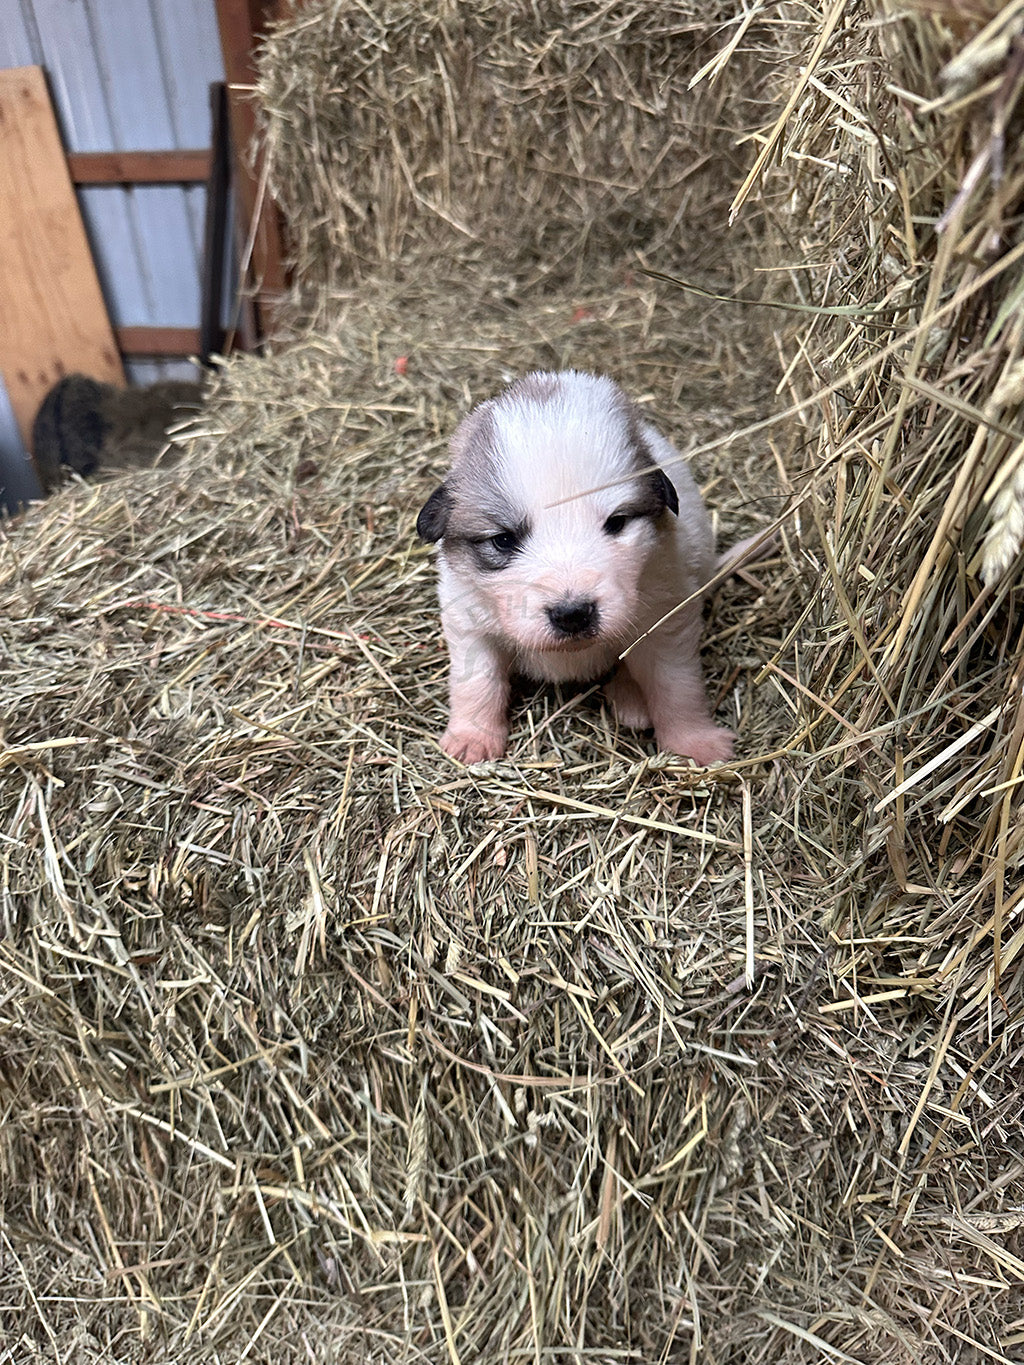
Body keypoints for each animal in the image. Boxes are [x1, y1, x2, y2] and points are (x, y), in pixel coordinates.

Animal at [417, 368, 737, 764]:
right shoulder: (469, 622)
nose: (572, 615)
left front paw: (696, 742)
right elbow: (477, 681)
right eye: (503, 540)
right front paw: (472, 739)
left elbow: (676, 684)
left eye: (617, 522)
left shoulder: (665, 622)